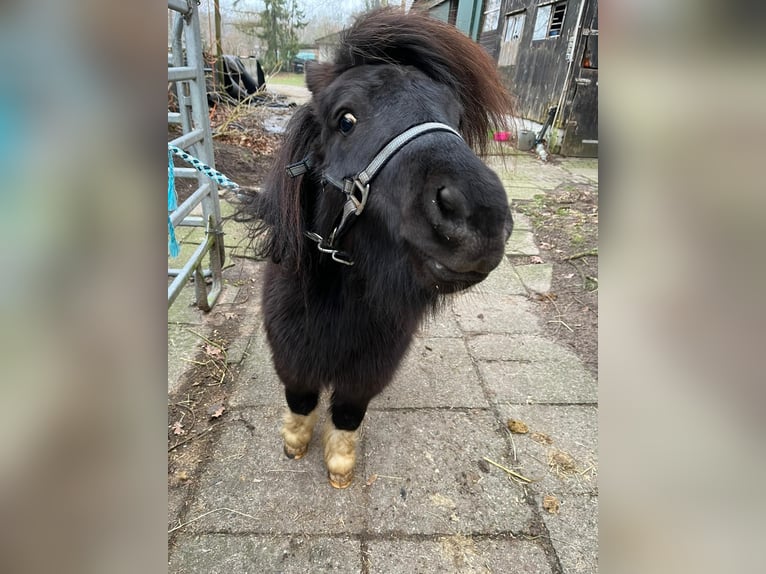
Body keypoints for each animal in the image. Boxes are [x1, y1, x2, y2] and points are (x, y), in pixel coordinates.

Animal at [254, 7, 516, 490]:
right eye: (345, 119)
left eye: (455, 117)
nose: (480, 220)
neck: (340, 298)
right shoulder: (291, 352)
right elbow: (300, 397)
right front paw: (295, 443)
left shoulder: (370, 367)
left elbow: (347, 411)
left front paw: (340, 464)